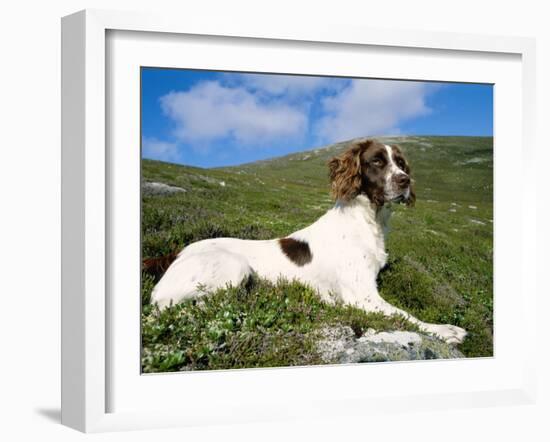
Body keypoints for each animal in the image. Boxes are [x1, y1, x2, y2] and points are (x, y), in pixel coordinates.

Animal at [152, 138, 470, 346]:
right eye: (377, 161)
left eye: (401, 163)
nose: (405, 181)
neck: (368, 221)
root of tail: (176, 254)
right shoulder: (362, 296)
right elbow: (406, 315)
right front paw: (447, 330)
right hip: (233, 266)